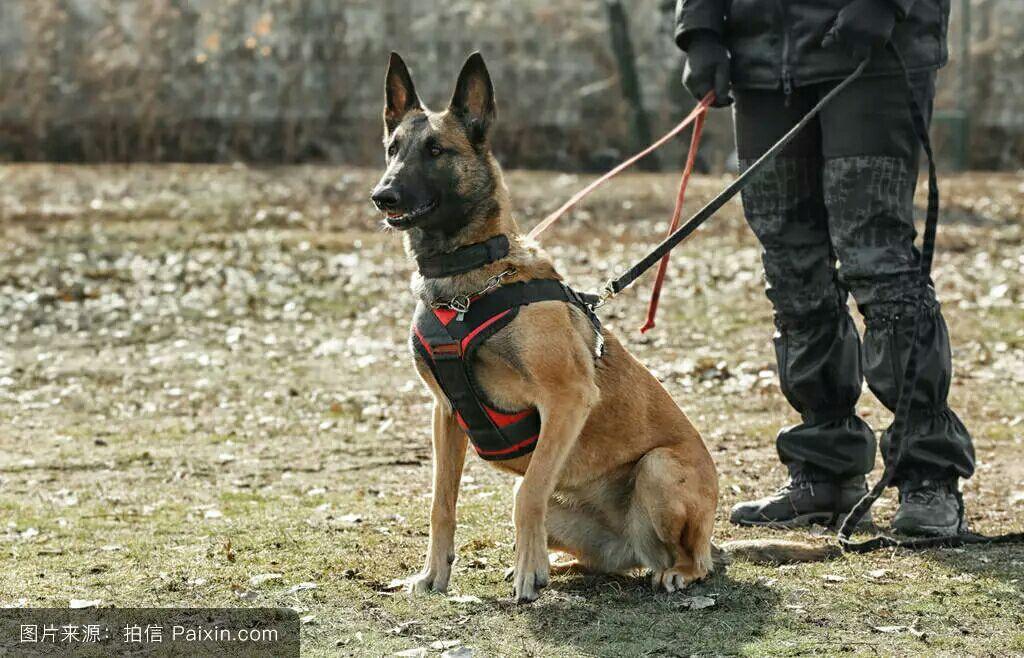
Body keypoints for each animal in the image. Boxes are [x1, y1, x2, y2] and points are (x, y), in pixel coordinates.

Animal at [372, 53, 835, 605]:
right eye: (393, 149)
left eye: (436, 150)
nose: (382, 196)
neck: (467, 285)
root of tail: (640, 546)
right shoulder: (445, 412)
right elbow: (441, 503)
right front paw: (434, 575)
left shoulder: (567, 399)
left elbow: (529, 493)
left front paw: (528, 574)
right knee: (605, 560)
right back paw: (565, 566)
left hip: (658, 469)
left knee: (693, 561)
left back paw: (671, 572)